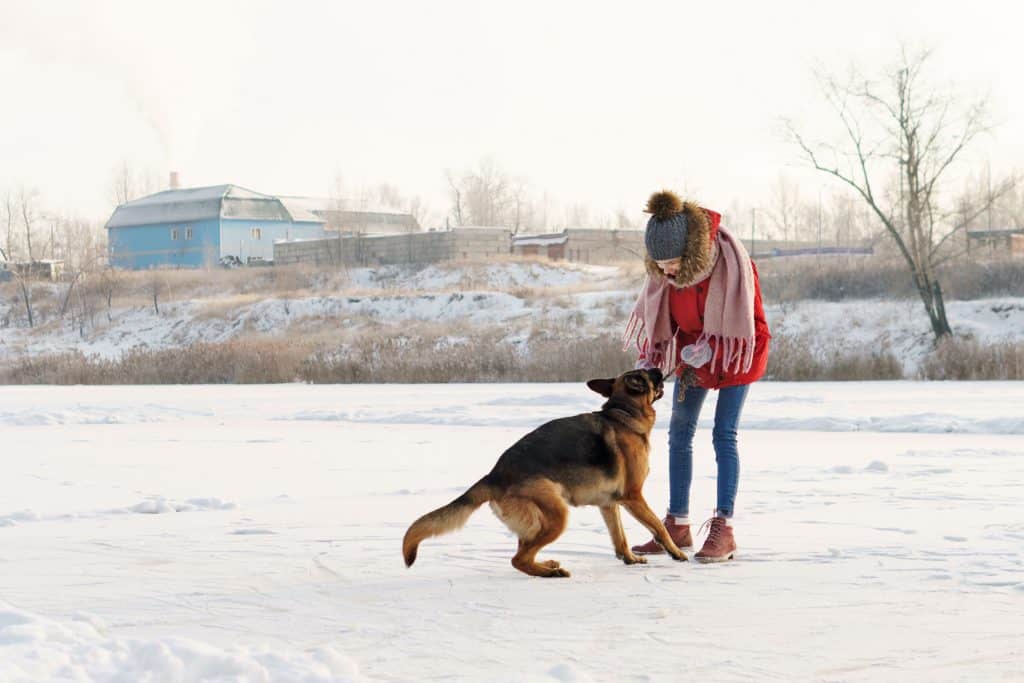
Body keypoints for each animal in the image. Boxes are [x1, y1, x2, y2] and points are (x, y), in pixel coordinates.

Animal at [401, 368, 688, 577]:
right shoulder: (634, 497)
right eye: (646, 374)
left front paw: (629, 558)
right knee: (518, 559)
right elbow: (658, 527)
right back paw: (551, 572)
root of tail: (494, 475)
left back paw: (546, 565)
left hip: (539, 522)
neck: (624, 412)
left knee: (524, 552)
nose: (660, 368)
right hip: (557, 514)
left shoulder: (609, 504)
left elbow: (620, 537)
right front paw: (677, 553)